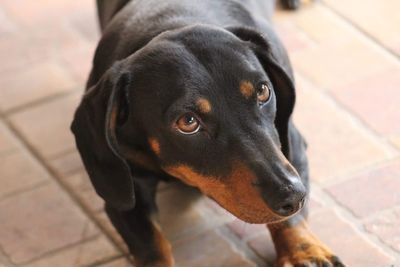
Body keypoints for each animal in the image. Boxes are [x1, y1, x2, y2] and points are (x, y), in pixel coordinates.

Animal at [71, 1, 344, 266]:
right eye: (188, 122)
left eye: (263, 91)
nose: (294, 196)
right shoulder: (123, 188)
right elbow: (151, 245)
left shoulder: (290, 144)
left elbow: (290, 219)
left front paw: (304, 253)